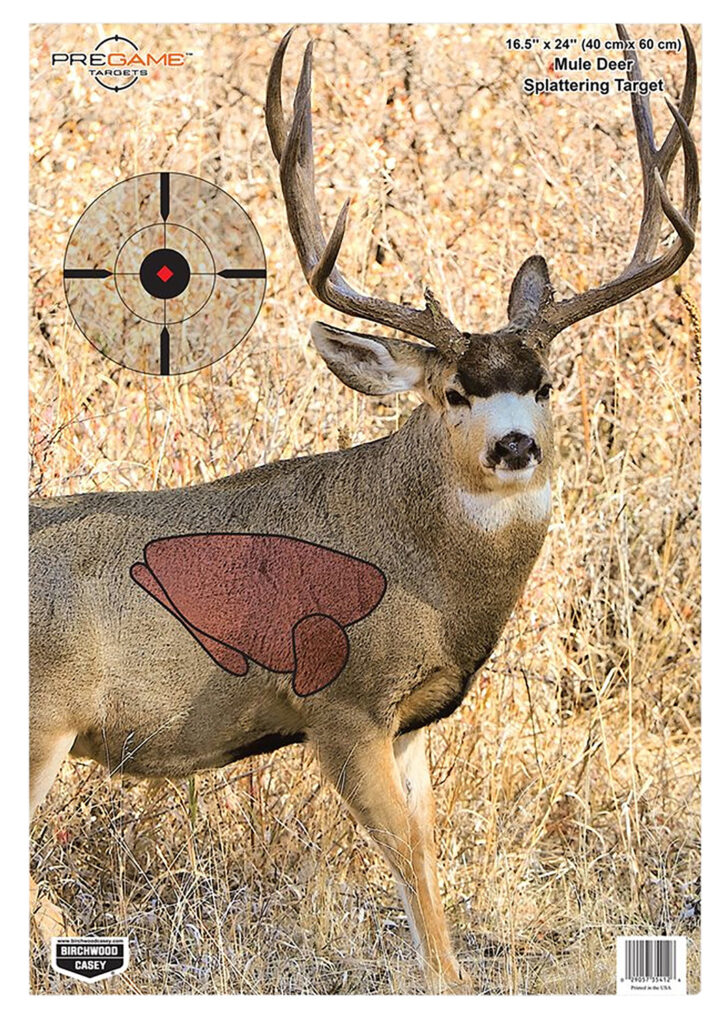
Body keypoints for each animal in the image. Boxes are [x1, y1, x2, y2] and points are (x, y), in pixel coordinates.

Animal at [30, 25, 698, 993]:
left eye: (543, 384)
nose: (515, 446)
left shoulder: (412, 721)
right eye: (455, 393)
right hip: (40, 723)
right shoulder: (340, 706)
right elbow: (406, 862)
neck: (421, 573)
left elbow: (429, 854)